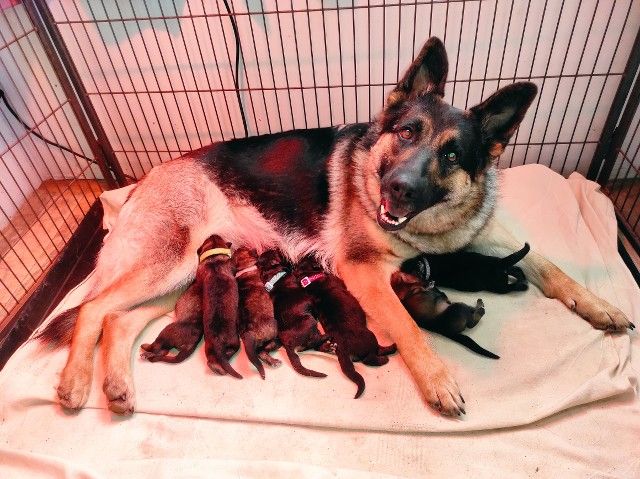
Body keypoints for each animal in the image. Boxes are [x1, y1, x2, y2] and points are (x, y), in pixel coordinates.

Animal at [198, 234, 242, 380]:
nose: (213, 234)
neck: (214, 259)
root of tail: (218, 344)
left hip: (208, 349)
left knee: (212, 361)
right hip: (235, 342)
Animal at [231, 248, 278, 378]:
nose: (256, 250)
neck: (244, 268)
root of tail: (249, 333)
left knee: (260, 353)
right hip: (274, 327)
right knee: (264, 349)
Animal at [402, 244, 532, 292]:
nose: (402, 265)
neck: (427, 264)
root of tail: (501, 262)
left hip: (498, 286)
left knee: (511, 287)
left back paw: (523, 286)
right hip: (499, 264)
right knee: (516, 269)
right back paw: (523, 278)